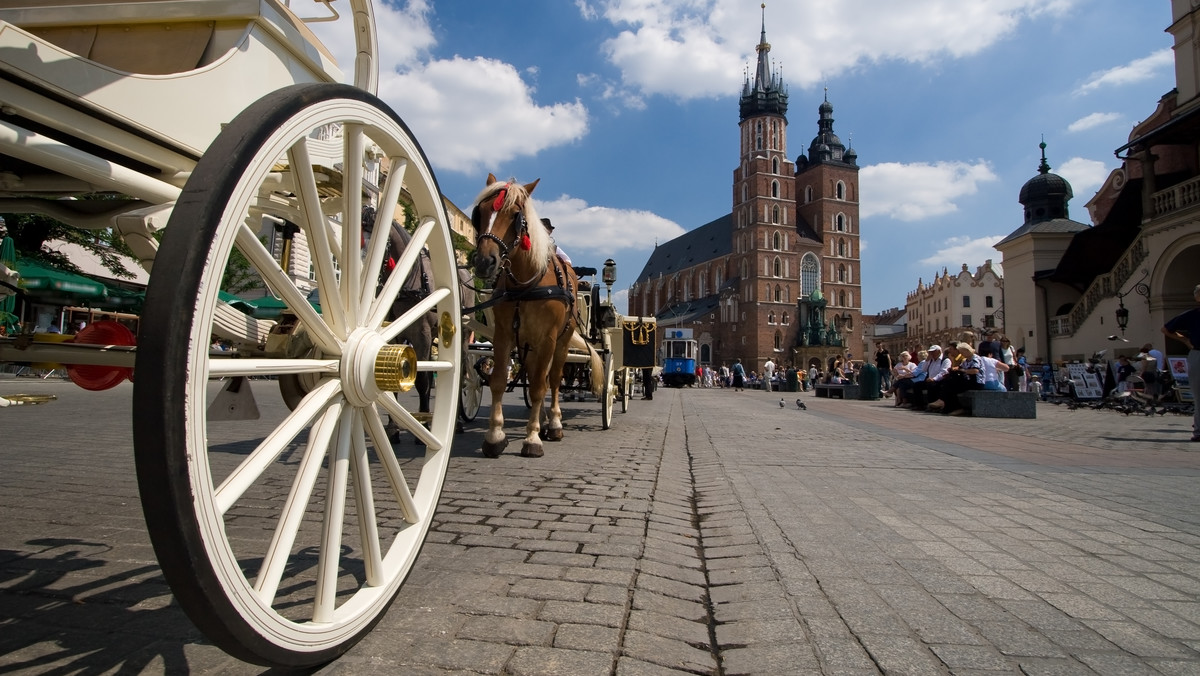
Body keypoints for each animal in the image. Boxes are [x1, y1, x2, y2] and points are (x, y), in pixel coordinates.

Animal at [468, 174, 600, 461]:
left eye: (516, 215)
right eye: (479, 213)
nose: (484, 262)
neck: (525, 284)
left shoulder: (547, 339)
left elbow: (542, 385)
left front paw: (532, 438)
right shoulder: (504, 335)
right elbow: (498, 382)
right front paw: (495, 436)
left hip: (560, 342)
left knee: (553, 380)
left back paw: (554, 424)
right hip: (527, 344)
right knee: (534, 375)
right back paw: (539, 419)